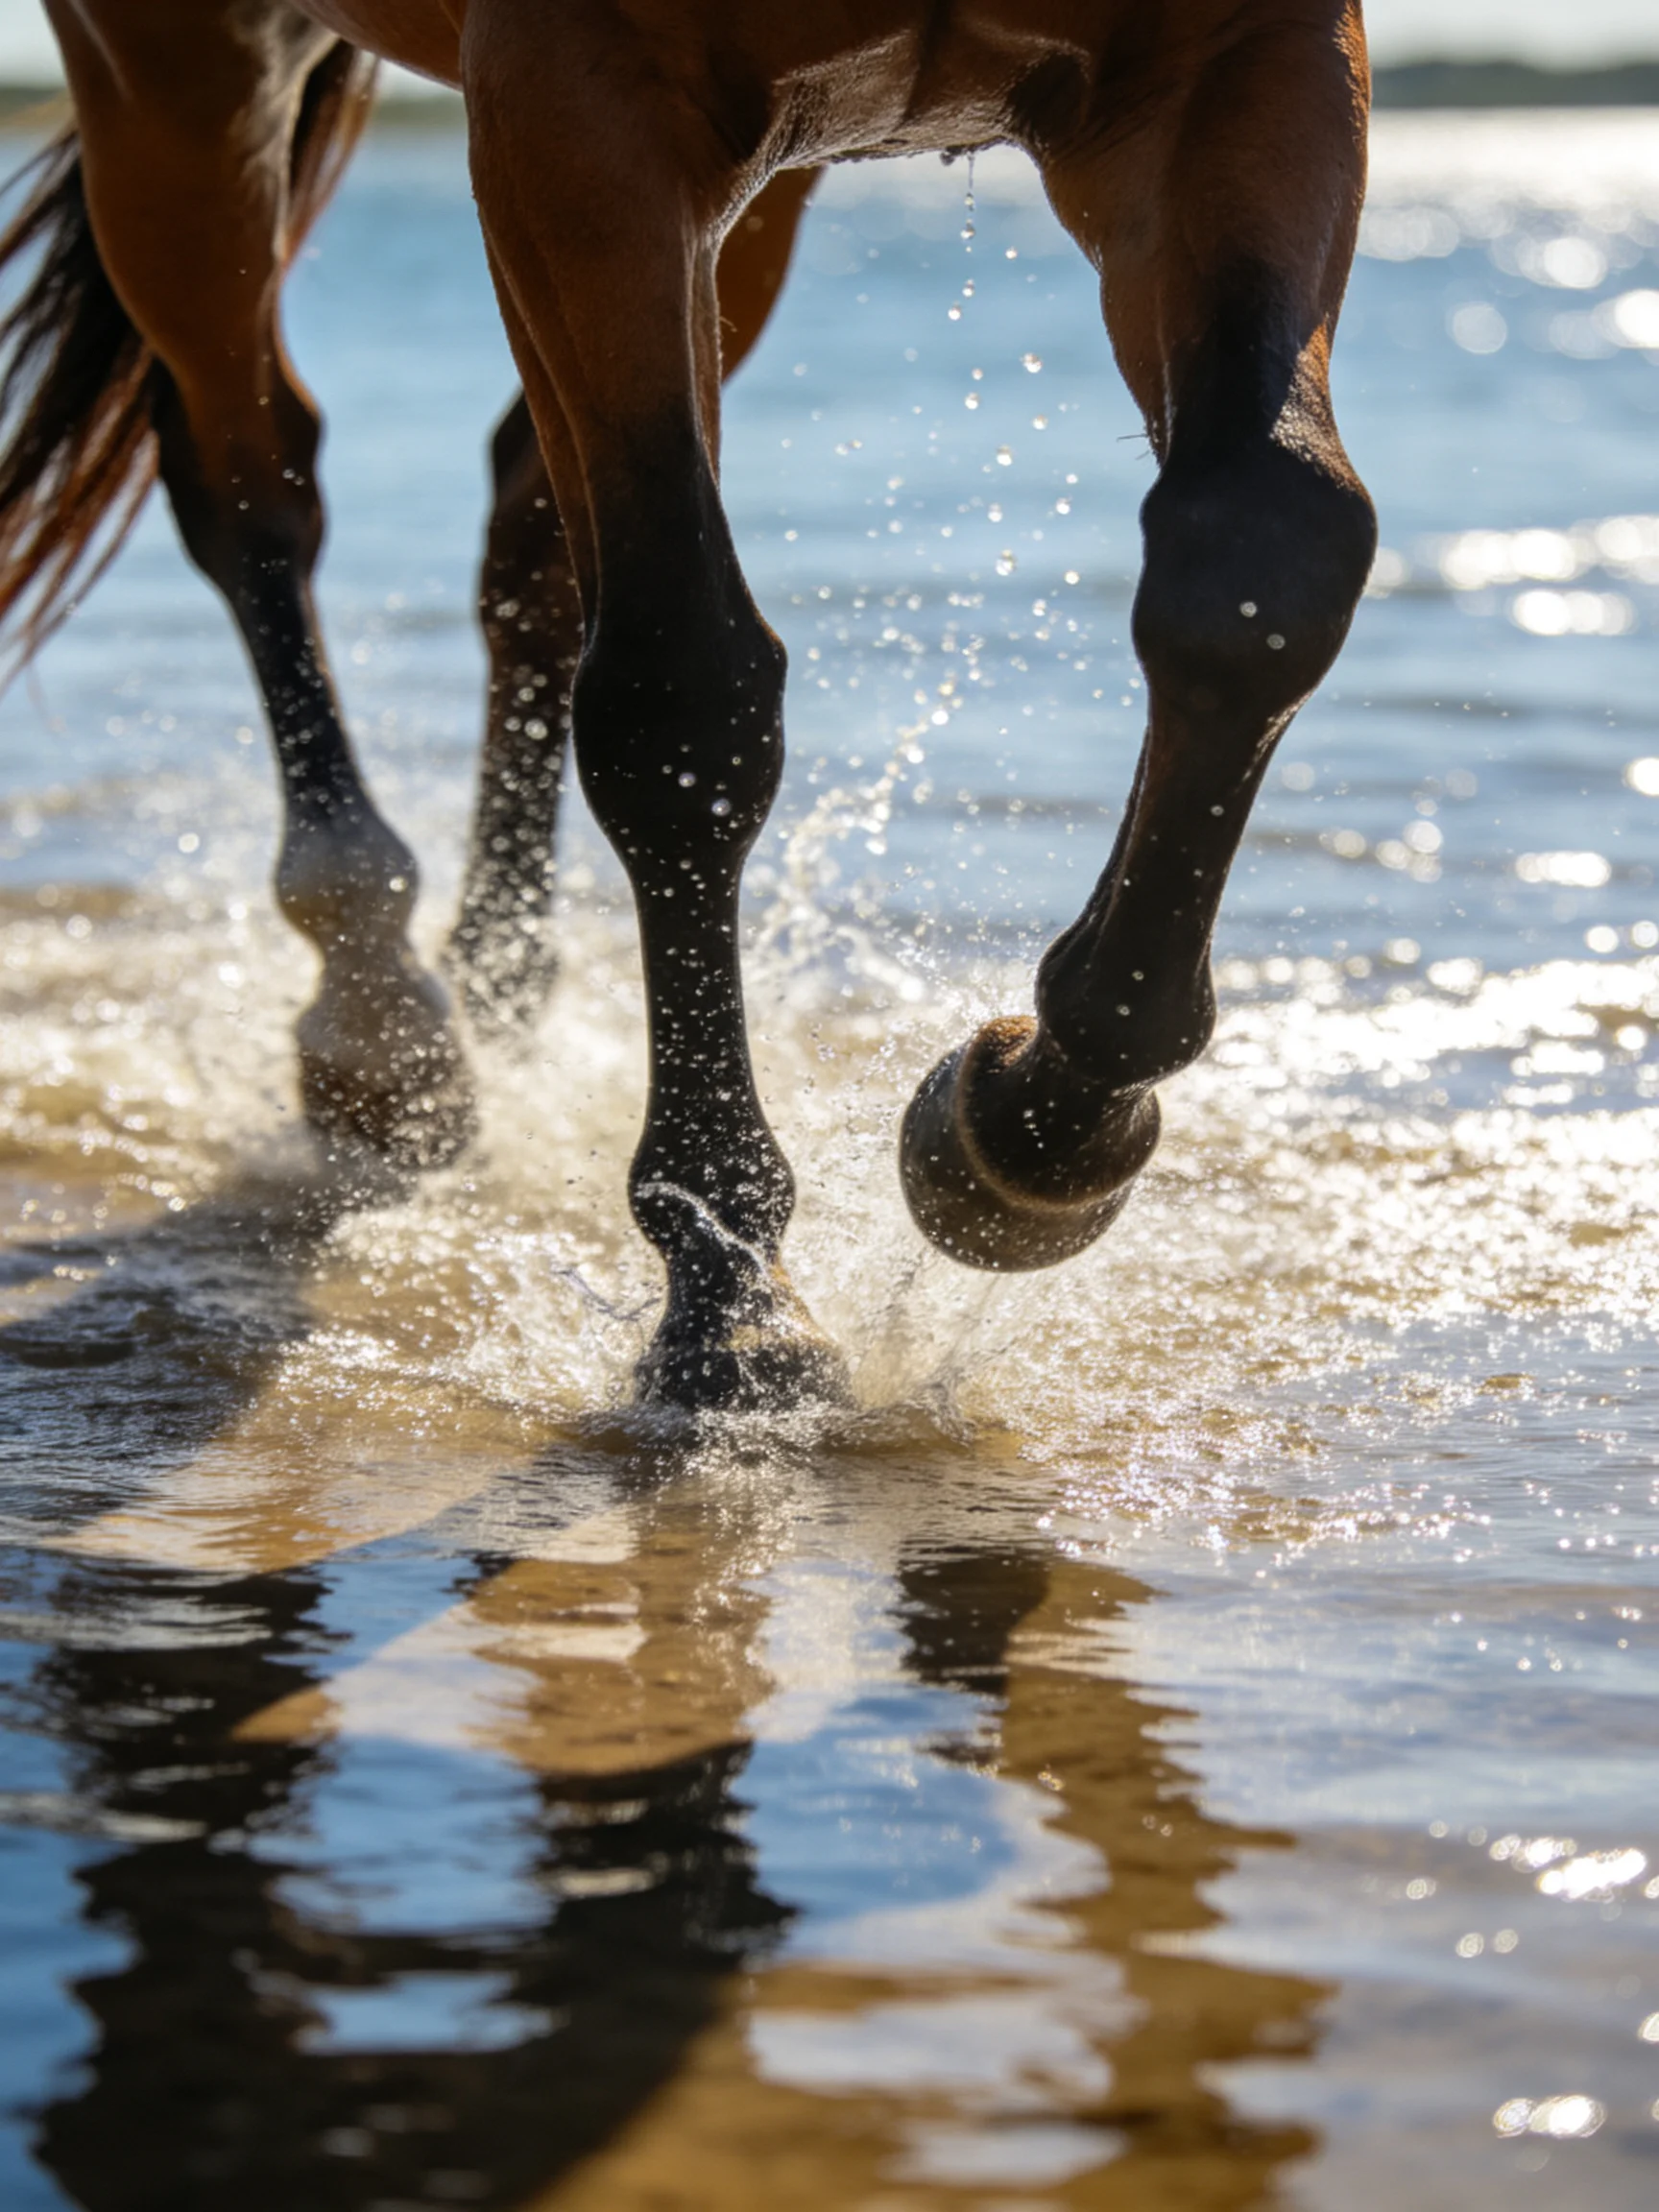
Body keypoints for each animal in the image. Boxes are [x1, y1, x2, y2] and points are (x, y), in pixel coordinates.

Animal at [4, 1, 1377, 1410]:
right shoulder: (578, 106)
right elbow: (682, 697)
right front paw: (729, 1292)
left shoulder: (1239, 74)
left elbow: (1262, 561)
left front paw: (1034, 1131)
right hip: (182, 80)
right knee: (252, 485)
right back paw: (377, 1012)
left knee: (527, 535)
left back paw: (495, 980)